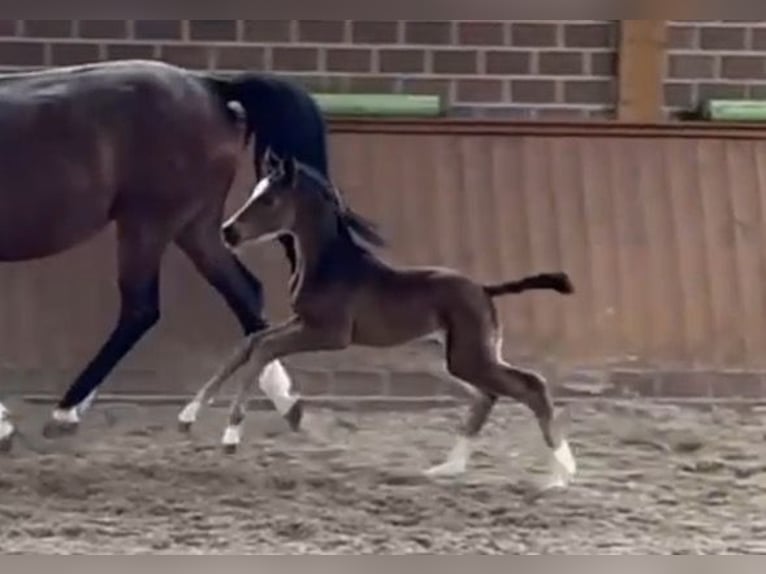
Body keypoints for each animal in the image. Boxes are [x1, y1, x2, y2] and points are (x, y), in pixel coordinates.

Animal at [0, 59, 381, 452]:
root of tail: (211, 87)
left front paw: (4, 424)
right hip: (196, 226)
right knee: (244, 292)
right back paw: (287, 404)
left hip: (148, 222)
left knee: (141, 309)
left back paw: (66, 411)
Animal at [178, 150, 578, 488]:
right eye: (254, 192)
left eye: (269, 199)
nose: (228, 231)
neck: (329, 264)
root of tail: (484, 289)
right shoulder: (301, 321)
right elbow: (250, 343)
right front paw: (187, 416)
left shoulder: (329, 333)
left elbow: (265, 349)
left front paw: (231, 435)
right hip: (450, 358)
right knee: (487, 396)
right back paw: (449, 468)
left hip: (468, 357)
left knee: (531, 386)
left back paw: (560, 473)